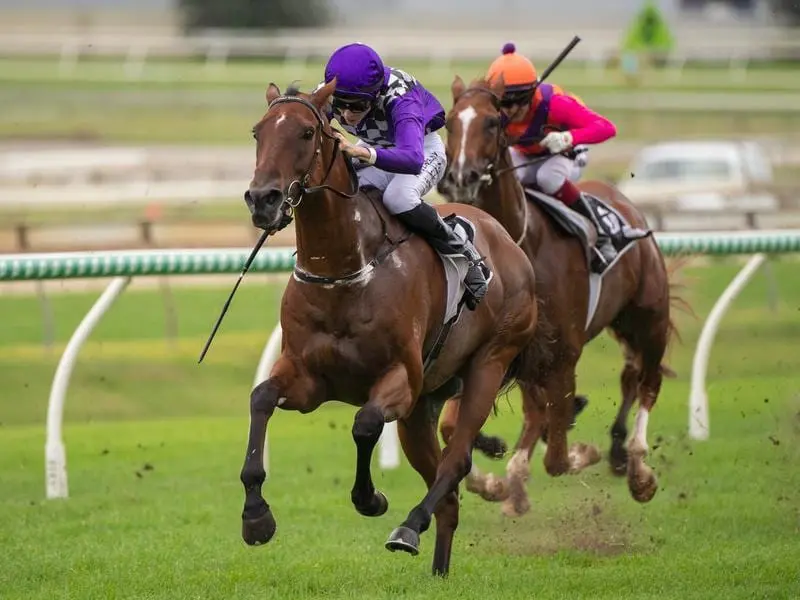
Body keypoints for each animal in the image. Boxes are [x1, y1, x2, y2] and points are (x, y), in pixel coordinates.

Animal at [238, 79, 552, 576]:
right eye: (258, 132)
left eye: (307, 132)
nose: (263, 199)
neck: (345, 269)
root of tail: (506, 239)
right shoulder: (308, 379)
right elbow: (261, 399)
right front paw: (256, 516)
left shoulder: (400, 379)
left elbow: (365, 423)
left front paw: (371, 498)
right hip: (423, 406)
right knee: (448, 496)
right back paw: (438, 569)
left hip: (487, 364)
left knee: (455, 462)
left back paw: (408, 527)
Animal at [434, 74, 680, 516]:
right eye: (449, 122)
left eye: (493, 122)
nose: (460, 176)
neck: (521, 242)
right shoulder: (501, 350)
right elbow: (452, 425)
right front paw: (492, 479)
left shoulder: (563, 351)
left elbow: (559, 456)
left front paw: (581, 451)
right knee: (617, 380)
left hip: (648, 319)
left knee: (647, 380)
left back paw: (637, 468)